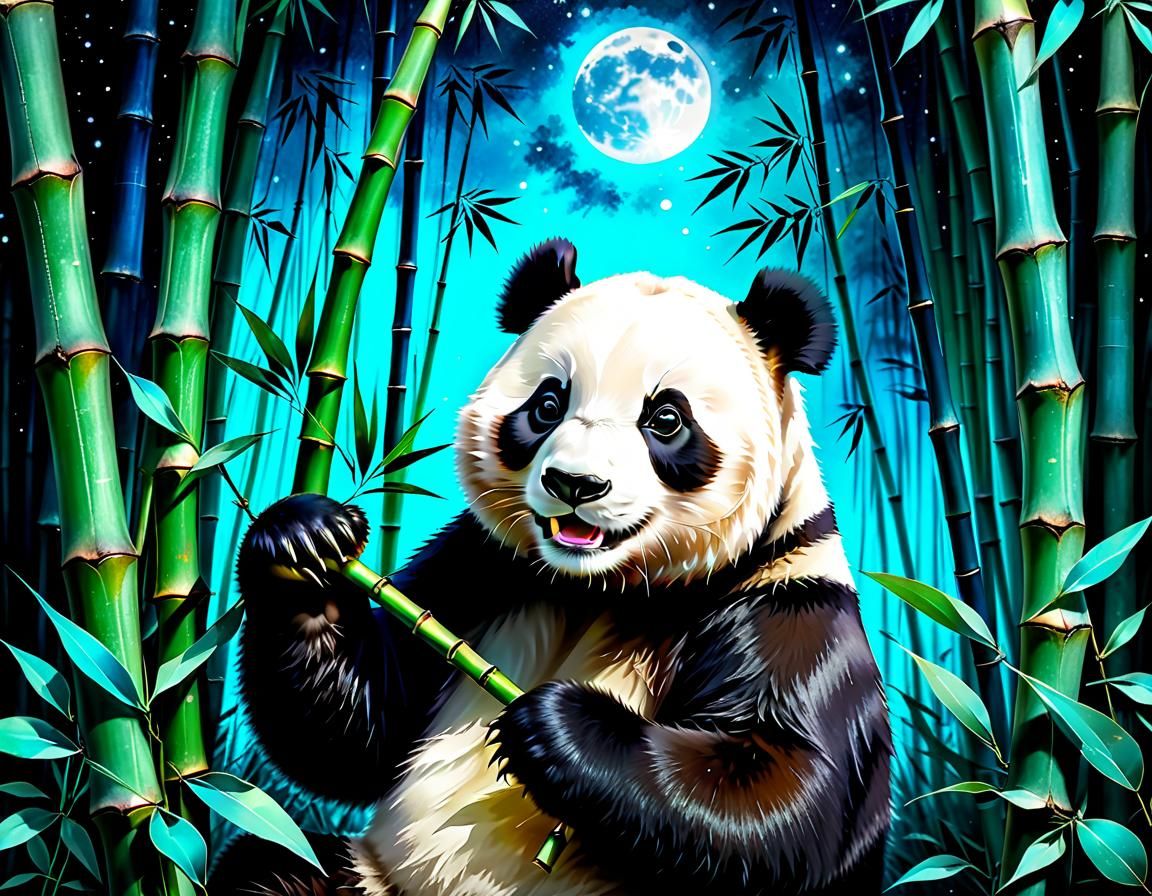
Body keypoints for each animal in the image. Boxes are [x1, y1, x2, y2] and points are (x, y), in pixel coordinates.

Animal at [216, 239, 891, 896]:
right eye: (547, 404)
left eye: (665, 418)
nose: (575, 483)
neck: (601, 585)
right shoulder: (484, 565)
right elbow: (362, 730)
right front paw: (304, 540)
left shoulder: (787, 603)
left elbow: (785, 798)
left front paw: (554, 728)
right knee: (266, 867)